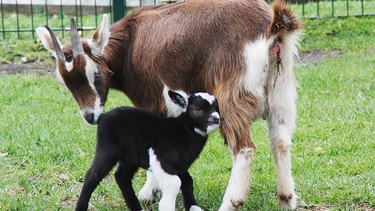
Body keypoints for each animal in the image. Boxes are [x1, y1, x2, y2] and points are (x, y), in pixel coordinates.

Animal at [36, 0, 304, 209]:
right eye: (64, 80)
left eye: (96, 73)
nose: (91, 116)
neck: (131, 43)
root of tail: (271, 27)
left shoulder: (156, 99)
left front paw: (148, 192)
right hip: (281, 91)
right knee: (280, 142)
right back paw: (286, 199)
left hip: (231, 95)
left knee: (244, 148)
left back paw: (231, 203)